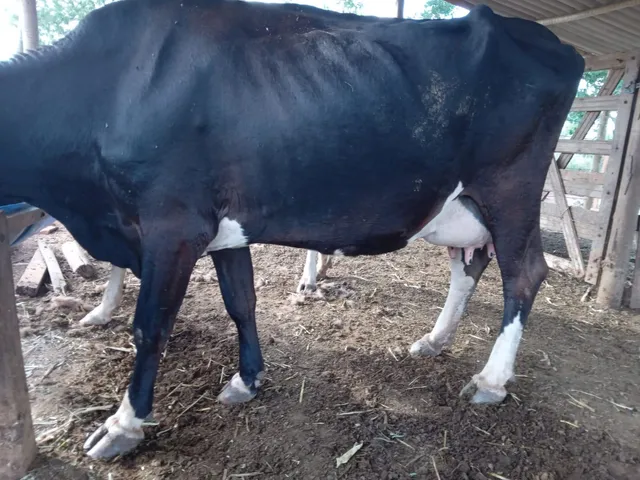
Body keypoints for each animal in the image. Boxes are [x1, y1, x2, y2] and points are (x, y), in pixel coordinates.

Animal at [0, 0, 584, 460]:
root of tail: (554, 43)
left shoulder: (172, 226)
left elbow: (150, 328)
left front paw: (123, 425)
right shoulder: (220, 229)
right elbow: (241, 301)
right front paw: (247, 379)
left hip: (510, 190)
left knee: (524, 273)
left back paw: (490, 381)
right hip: (461, 205)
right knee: (471, 267)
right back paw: (434, 341)